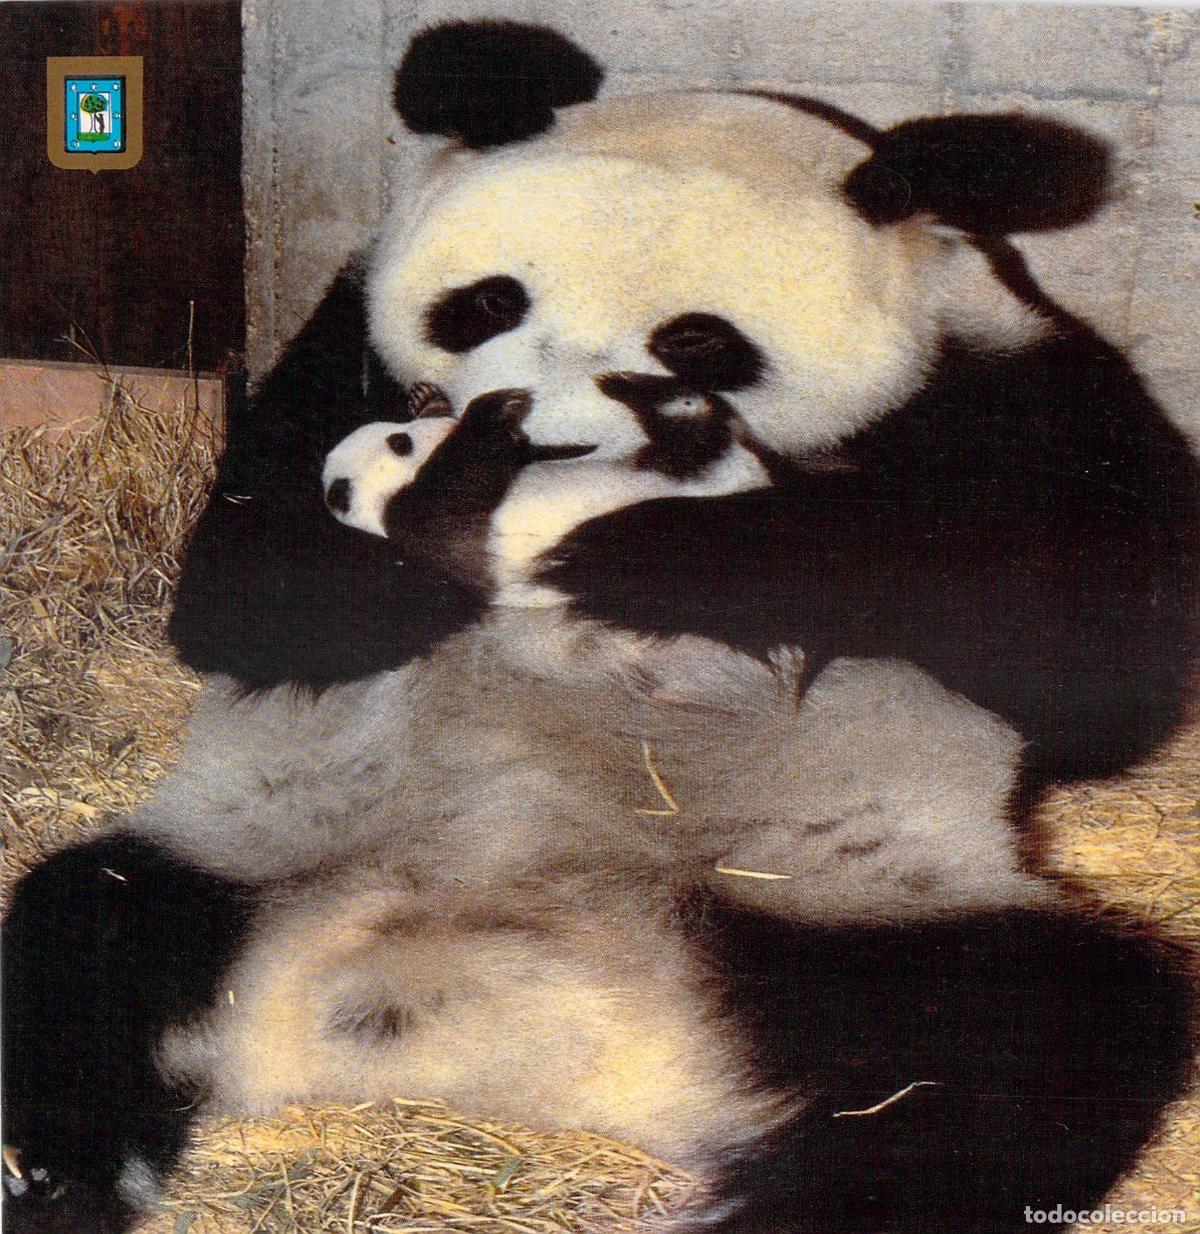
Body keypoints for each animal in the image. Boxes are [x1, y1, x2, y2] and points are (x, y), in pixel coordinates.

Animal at [5, 19, 1199, 1234]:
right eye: (488, 302)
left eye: (699, 341)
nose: (529, 433)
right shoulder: (339, 345)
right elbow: (242, 600)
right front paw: (433, 515)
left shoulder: (998, 383)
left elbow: (1100, 664)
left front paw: (642, 555)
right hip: (264, 859)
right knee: (90, 934)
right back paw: (61, 1175)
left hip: (842, 903)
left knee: (1029, 1038)